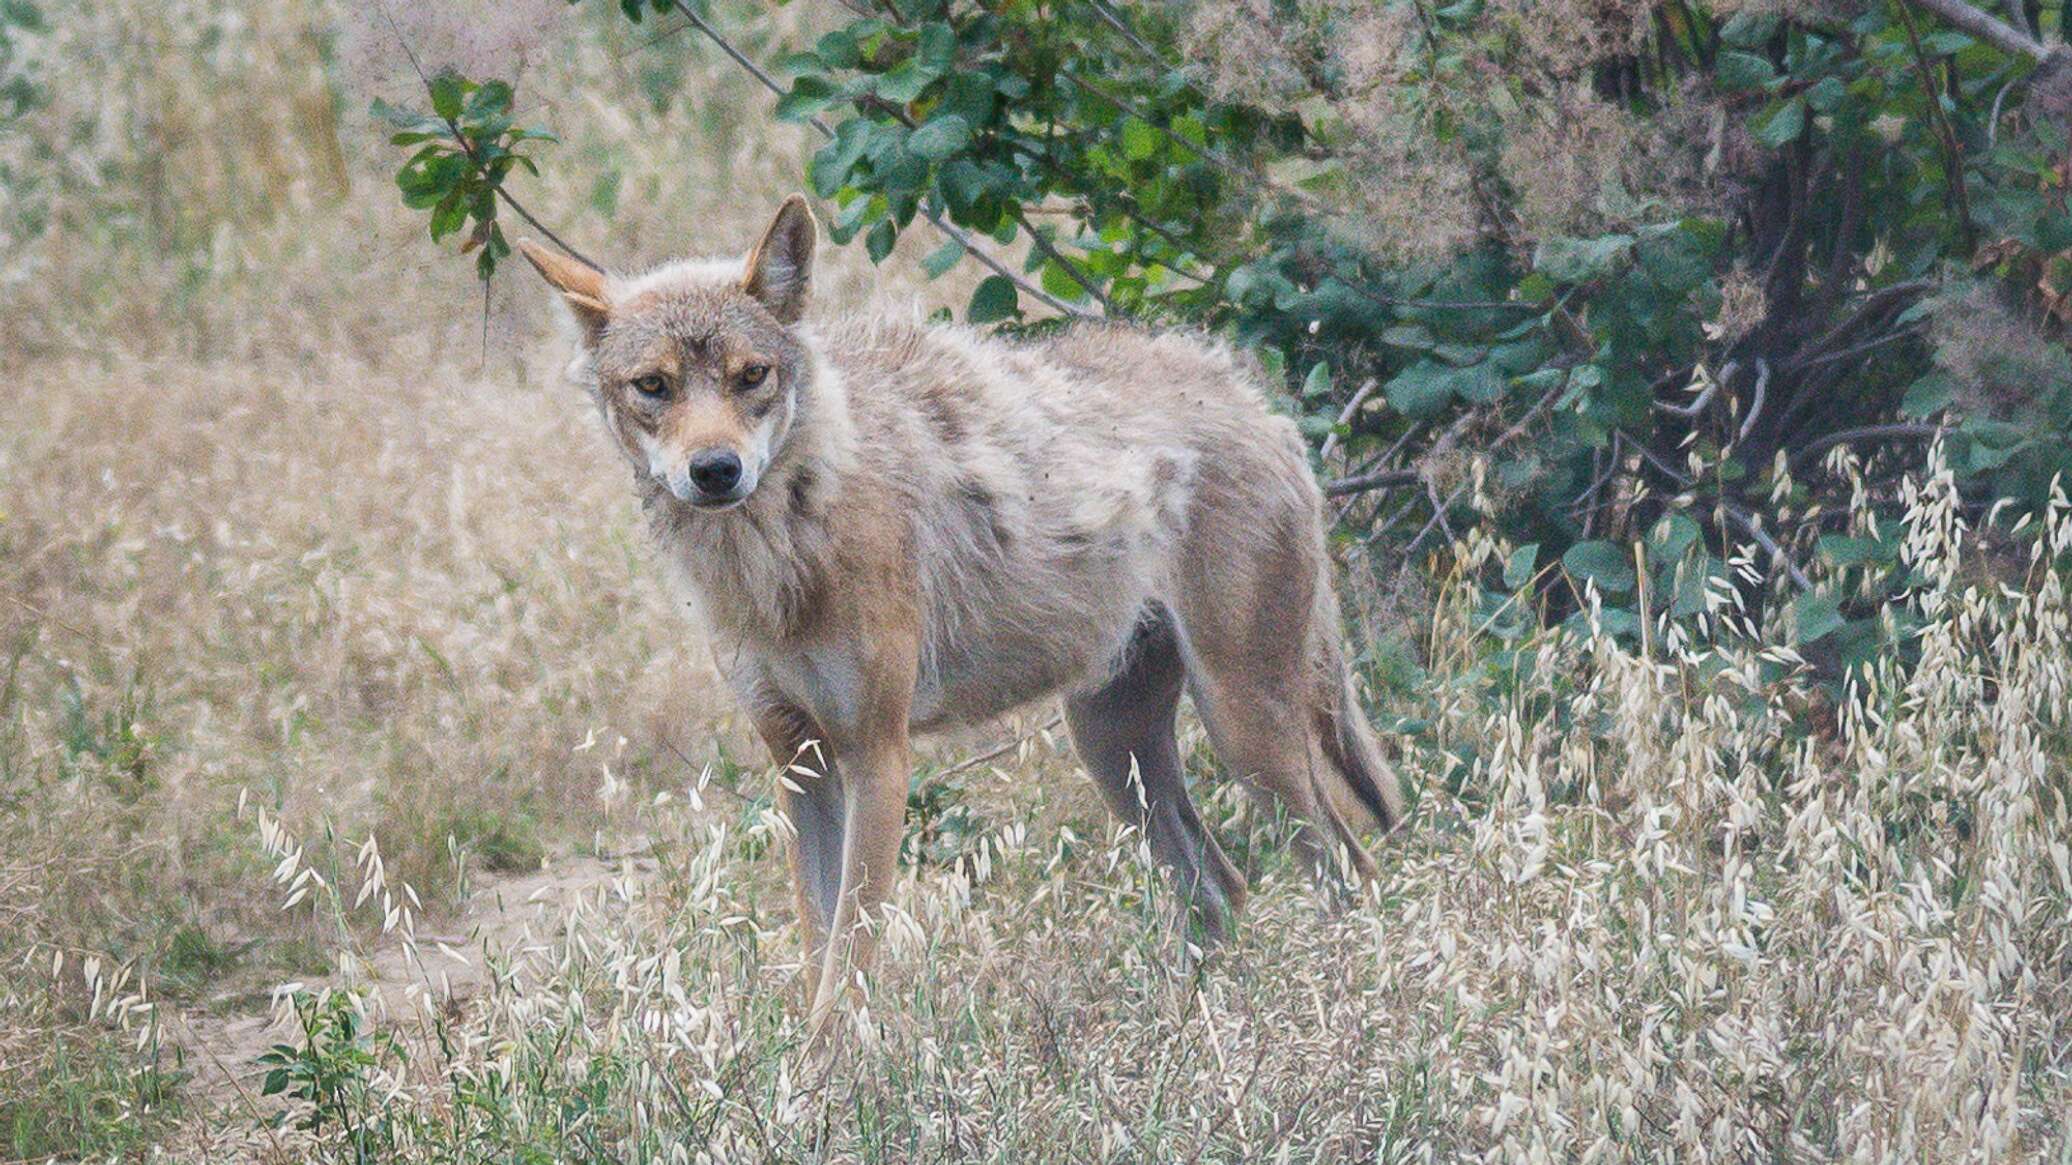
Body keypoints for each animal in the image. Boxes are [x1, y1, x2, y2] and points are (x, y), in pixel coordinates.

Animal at [518, 194, 1408, 1028]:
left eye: (751, 376)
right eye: (654, 387)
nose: (715, 470)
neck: (784, 549)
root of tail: (1255, 399)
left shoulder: (877, 756)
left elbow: (848, 961)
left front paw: (828, 1072)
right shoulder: (800, 763)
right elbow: (816, 948)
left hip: (1244, 730)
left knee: (1350, 872)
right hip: (1112, 746)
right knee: (1222, 886)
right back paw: (1209, 1023)